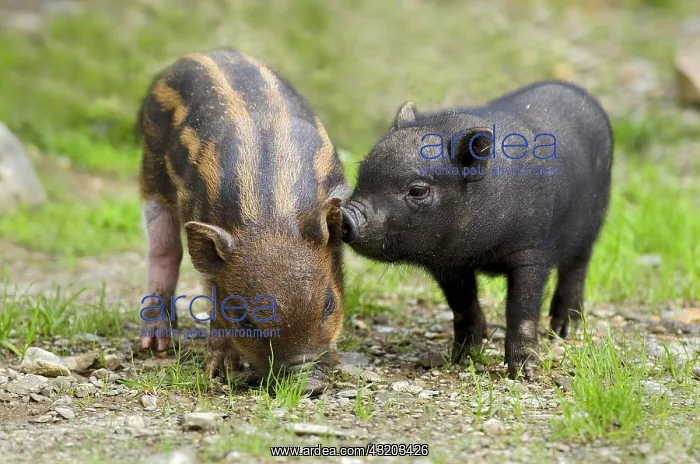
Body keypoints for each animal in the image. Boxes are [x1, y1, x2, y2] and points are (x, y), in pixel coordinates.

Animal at [137, 49, 349, 377]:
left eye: (328, 305)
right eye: (246, 321)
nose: (303, 371)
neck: (270, 218)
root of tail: (199, 53)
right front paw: (218, 371)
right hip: (151, 172)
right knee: (163, 250)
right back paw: (155, 345)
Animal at [341, 81, 613, 379]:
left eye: (418, 190)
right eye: (362, 173)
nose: (345, 214)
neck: (481, 250)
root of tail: (573, 89)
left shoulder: (532, 248)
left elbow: (522, 308)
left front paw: (523, 373)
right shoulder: (448, 264)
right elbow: (462, 304)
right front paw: (461, 358)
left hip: (592, 225)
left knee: (576, 270)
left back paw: (564, 332)